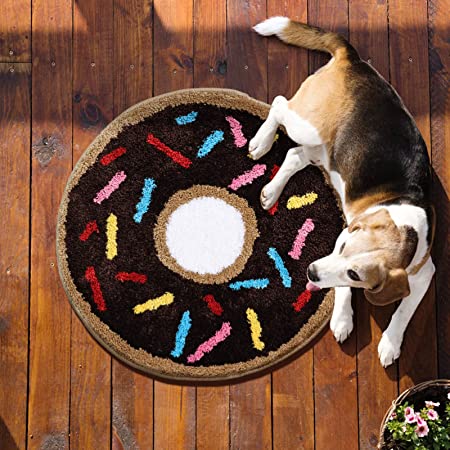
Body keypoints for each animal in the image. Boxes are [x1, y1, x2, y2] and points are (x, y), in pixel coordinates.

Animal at [251, 18, 434, 370]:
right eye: (344, 248)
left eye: (355, 272)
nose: (310, 272)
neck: (405, 227)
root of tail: (353, 59)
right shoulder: (344, 233)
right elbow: (344, 290)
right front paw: (342, 319)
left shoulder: (424, 272)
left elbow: (404, 308)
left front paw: (390, 343)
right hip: (307, 124)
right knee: (279, 105)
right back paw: (260, 141)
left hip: (324, 150)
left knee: (294, 155)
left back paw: (272, 191)